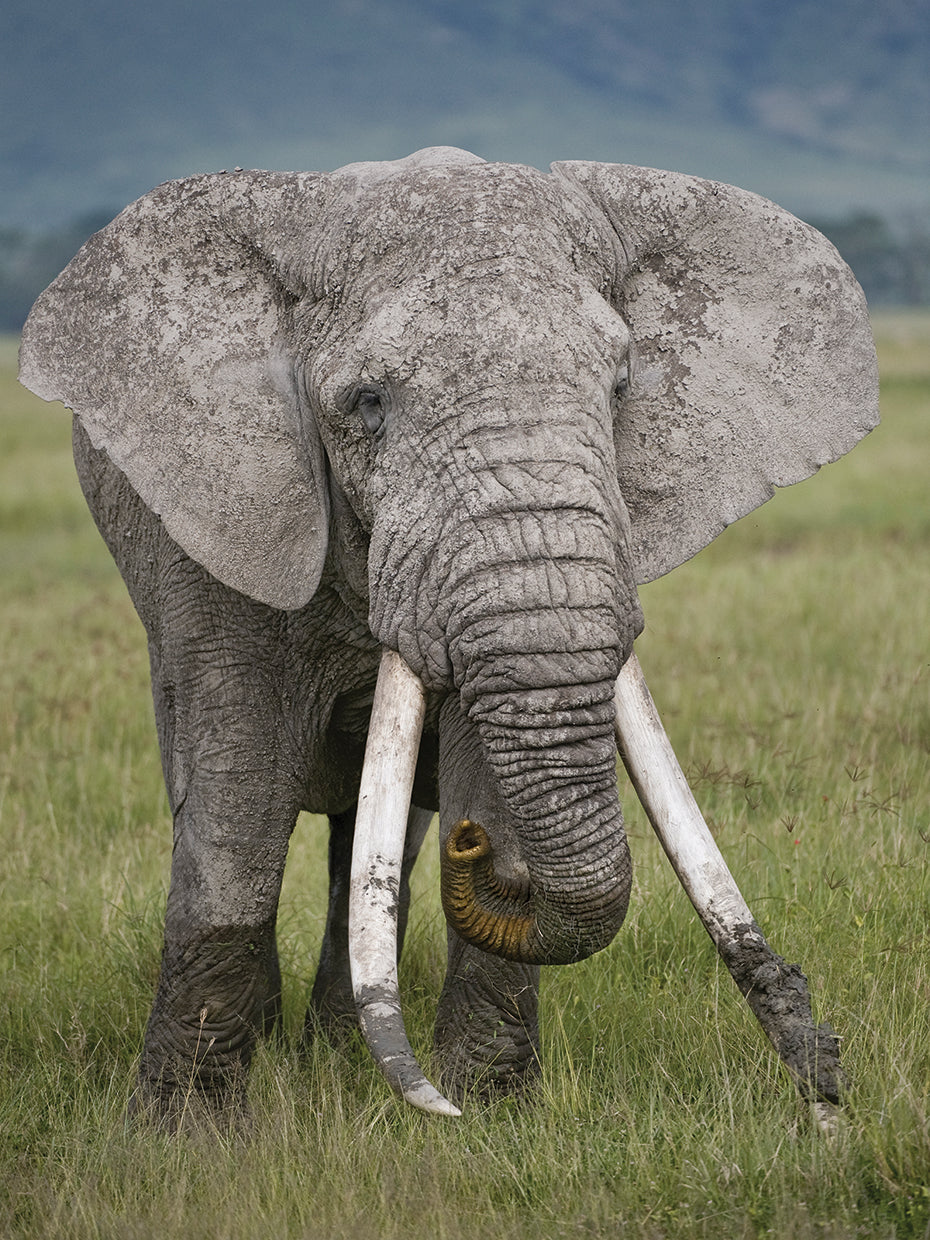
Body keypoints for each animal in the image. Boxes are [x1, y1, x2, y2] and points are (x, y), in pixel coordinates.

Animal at [19, 146, 879, 1123]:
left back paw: (333, 1048)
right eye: (366, 402)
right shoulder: (216, 526)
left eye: (621, 389)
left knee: (368, 847)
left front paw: (490, 1115)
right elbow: (237, 787)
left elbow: (481, 768)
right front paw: (184, 1128)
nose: (822, 1066)